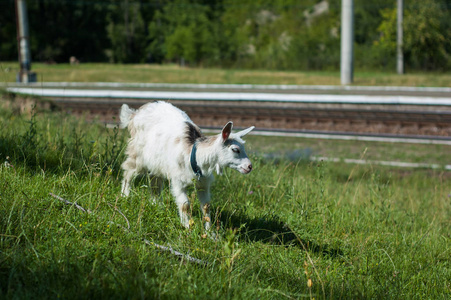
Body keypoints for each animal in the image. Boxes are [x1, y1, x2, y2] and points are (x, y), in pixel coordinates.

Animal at [120, 101, 254, 230]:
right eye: (235, 149)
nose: (249, 166)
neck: (193, 155)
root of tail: (135, 113)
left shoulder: (203, 183)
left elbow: (206, 206)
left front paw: (210, 233)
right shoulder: (178, 181)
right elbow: (185, 205)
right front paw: (187, 227)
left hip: (156, 163)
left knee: (155, 182)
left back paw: (157, 205)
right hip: (137, 154)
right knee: (128, 172)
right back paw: (125, 196)